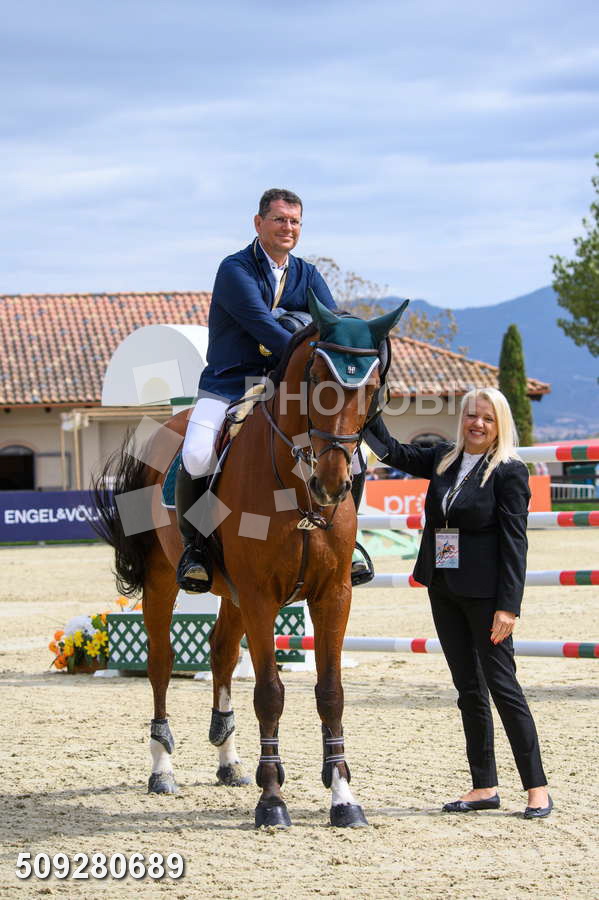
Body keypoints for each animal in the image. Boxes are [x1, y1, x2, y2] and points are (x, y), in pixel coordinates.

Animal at [94, 292, 407, 828]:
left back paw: (229, 759)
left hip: (232, 593)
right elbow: (270, 693)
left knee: (220, 652)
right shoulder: (262, 597)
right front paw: (272, 800)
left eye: (370, 387)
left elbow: (331, 692)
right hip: (164, 580)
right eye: (317, 380)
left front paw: (342, 796)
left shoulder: (332, 595)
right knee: (161, 663)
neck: (297, 492)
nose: (332, 483)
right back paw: (162, 768)